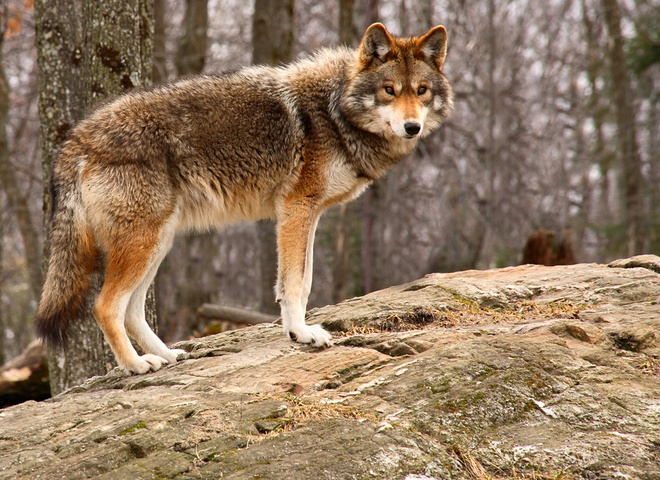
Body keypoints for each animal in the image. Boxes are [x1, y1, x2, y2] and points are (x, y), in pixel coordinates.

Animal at [36, 23, 454, 376]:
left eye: (421, 91)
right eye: (389, 90)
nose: (412, 127)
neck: (335, 112)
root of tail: (75, 140)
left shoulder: (309, 214)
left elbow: (303, 282)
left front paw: (297, 331)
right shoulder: (296, 209)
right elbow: (295, 284)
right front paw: (302, 334)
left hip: (157, 242)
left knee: (133, 312)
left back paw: (167, 355)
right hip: (143, 242)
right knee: (105, 307)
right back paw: (136, 365)